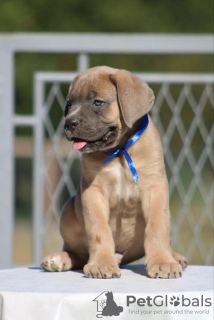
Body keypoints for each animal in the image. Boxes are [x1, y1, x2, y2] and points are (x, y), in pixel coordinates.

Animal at [41, 67, 186, 278]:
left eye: (98, 102)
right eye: (69, 103)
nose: (69, 123)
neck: (119, 150)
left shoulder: (155, 187)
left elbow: (157, 227)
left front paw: (162, 261)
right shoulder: (93, 191)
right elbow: (99, 230)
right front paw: (101, 263)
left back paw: (174, 257)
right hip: (68, 209)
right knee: (78, 252)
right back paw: (59, 259)